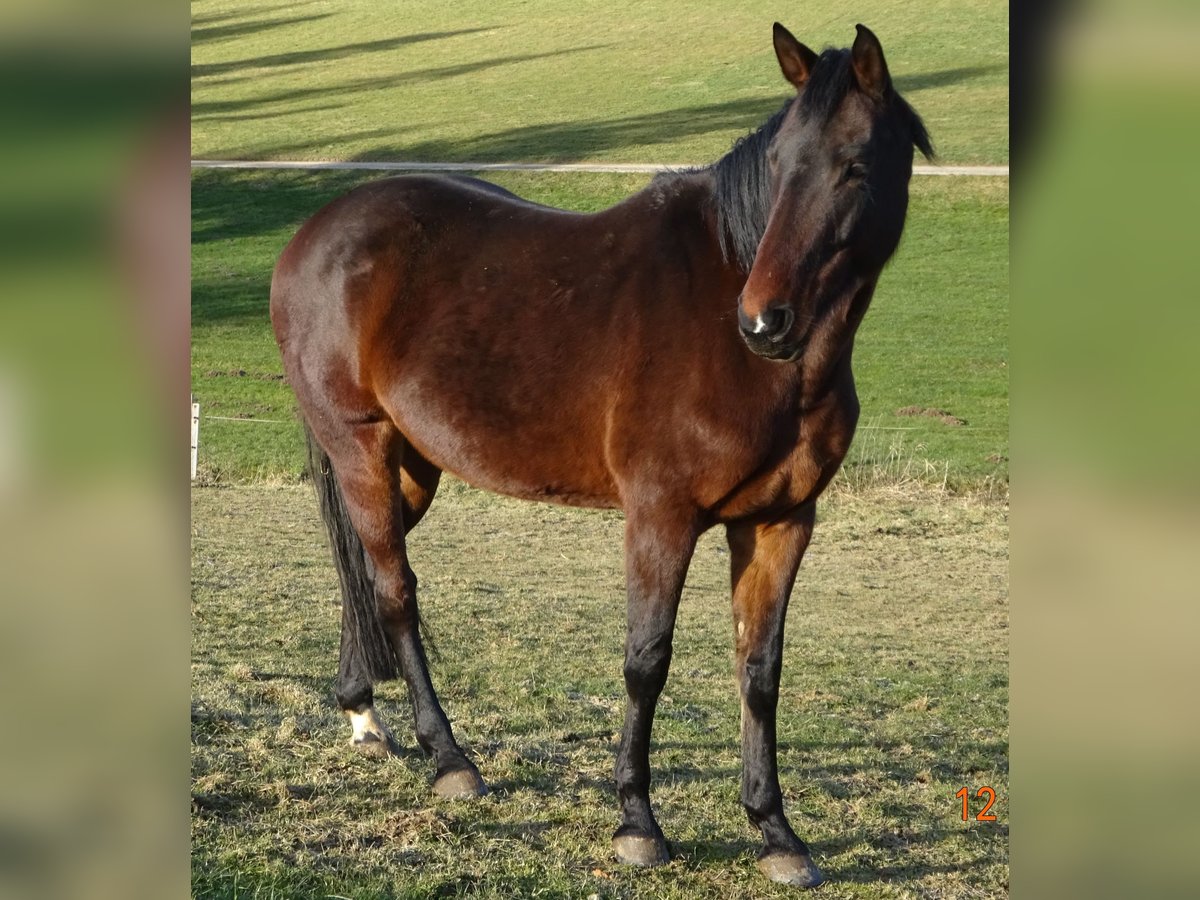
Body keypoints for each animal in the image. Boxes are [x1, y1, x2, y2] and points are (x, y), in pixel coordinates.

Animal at [274, 21, 936, 888]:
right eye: (780, 164)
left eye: (855, 163)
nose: (765, 321)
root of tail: (316, 232)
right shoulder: (660, 517)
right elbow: (646, 660)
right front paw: (637, 823)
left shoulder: (783, 521)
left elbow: (759, 671)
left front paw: (775, 832)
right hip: (360, 447)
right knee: (394, 589)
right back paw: (450, 759)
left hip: (407, 468)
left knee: (357, 567)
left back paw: (361, 710)